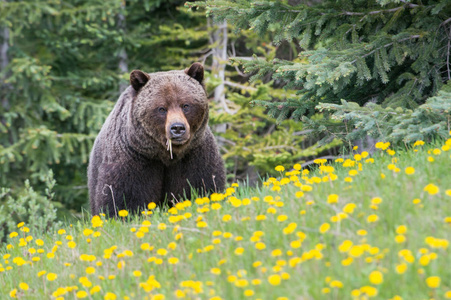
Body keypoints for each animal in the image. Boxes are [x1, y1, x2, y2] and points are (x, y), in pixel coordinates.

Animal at [88, 63, 226, 216]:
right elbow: (123, 197)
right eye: (161, 108)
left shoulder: (195, 155)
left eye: (186, 105)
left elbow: (203, 184)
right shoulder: (134, 158)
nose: (177, 128)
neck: (165, 154)